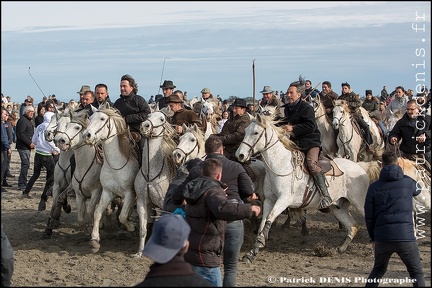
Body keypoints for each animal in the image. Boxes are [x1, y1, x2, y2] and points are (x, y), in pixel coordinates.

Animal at [82, 104, 139, 253]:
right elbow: (97, 212)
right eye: (90, 118)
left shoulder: (130, 193)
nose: (86, 135)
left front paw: (131, 227)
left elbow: (123, 215)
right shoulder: (107, 192)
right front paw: (95, 239)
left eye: (102, 119)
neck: (116, 164)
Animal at [133, 109, 177, 256]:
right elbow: (143, 229)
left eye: (162, 119)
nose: (145, 126)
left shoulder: (164, 203)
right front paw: (139, 252)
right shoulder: (141, 202)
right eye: (148, 116)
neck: (150, 173)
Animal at [236, 115, 372, 264]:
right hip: (338, 207)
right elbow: (263, 222)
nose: (240, 155)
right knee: (353, 226)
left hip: (360, 203)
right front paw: (252, 252)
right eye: (245, 131)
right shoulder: (269, 201)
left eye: (255, 132)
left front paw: (259, 243)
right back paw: (340, 249)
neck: (280, 165)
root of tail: (360, 167)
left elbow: (270, 218)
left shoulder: (283, 200)